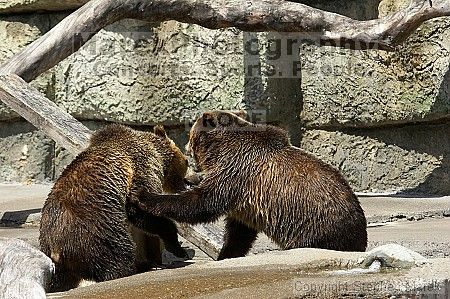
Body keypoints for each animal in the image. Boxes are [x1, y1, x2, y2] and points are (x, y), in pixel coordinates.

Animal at [39, 124, 189, 292]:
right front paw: (177, 247)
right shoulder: (141, 165)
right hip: (94, 230)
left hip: (58, 259)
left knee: (62, 280)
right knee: (117, 253)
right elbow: (139, 207)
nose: (188, 183)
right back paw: (137, 267)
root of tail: (55, 246)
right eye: (187, 162)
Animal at [128, 110, 368, 260]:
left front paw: (143, 196)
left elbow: (203, 202)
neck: (219, 150)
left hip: (314, 226)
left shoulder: (236, 171)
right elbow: (239, 232)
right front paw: (225, 255)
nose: (186, 145)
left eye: (191, 131)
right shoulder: (245, 197)